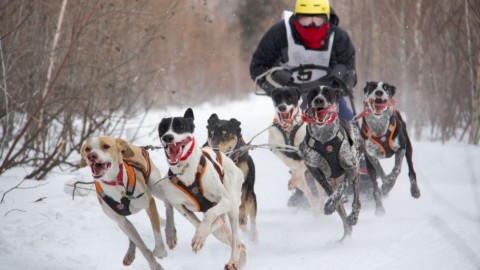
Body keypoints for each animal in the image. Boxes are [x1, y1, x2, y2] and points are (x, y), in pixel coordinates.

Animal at [80, 137, 174, 270]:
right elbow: (142, 247)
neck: (115, 182)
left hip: (156, 188)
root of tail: (136, 146)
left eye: (105, 146)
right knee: (132, 235)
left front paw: (160, 252)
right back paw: (130, 252)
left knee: (168, 204)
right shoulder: (121, 222)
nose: (91, 156)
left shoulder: (149, 203)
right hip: (125, 223)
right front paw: (154, 265)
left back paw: (170, 233)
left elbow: (157, 233)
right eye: (87, 149)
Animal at [158, 108, 248, 270]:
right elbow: (196, 222)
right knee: (237, 242)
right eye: (162, 128)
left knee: (235, 240)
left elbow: (209, 215)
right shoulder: (179, 205)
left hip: (233, 208)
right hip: (222, 228)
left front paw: (199, 237)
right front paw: (194, 235)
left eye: (180, 126)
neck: (186, 171)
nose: (167, 137)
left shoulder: (224, 201)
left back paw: (233, 260)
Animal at [298, 85, 362, 240]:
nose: (319, 100)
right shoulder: (313, 168)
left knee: (357, 201)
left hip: (356, 173)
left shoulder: (351, 168)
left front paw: (332, 202)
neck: (325, 139)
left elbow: (341, 188)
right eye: (313, 93)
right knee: (343, 216)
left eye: (328, 93)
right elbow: (329, 190)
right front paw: (332, 202)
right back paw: (345, 236)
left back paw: (353, 216)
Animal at [360, 80, 420, 215]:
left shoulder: (401, 148)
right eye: (372, 87)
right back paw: (379, 208)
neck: (379, 128)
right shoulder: (370, 155)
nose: (379, 92)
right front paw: (385, 186)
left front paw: (388, 185)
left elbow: (396, 170)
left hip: (408, 147)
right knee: (375, 184)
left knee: (411, 171)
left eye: (386, 88)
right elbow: (380, 171)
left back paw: (415, 190)